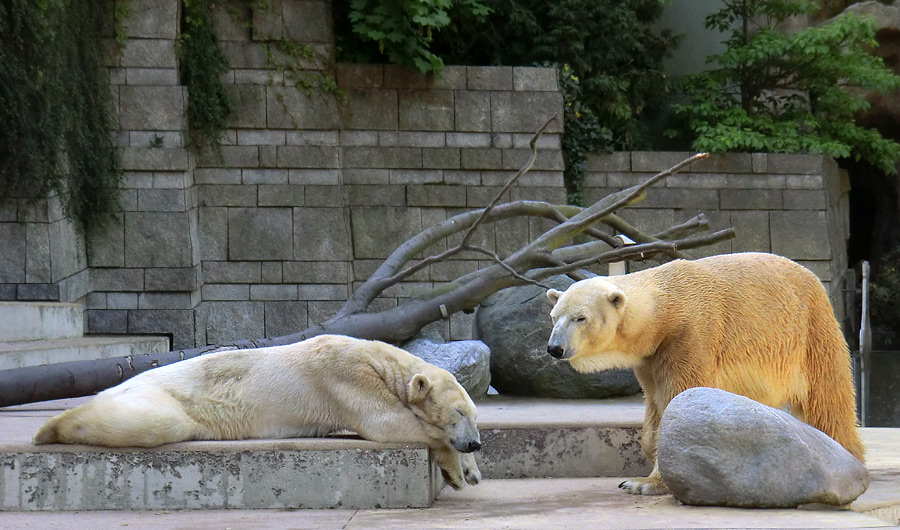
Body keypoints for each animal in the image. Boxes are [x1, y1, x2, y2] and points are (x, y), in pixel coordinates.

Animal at [33, 334, 486, 486]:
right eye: (458, 413)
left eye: (474, 413)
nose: (476, 444)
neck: (376, 357)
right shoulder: (344, 374)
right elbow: (386, 420)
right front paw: (455, 469)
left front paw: (470, 471)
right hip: (160, 395)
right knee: (155, 421)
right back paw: (49, 428)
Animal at [544, 250, 860, 492]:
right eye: (554, 316)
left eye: (580, 318)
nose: (555, 348)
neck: (664, 308)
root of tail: (812, 276)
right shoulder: (650, 357)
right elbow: (655, 404)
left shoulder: (689, 336)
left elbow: (680, 398)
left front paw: (645, 484)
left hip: (810, 331)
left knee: (827, 398)